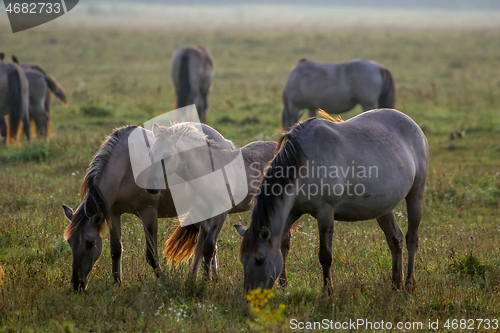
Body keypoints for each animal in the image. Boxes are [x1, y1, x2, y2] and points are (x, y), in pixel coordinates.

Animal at [62, 123, 232, 290]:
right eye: (70, 242)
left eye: (90, 243)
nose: (76, 284)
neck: (126, 167)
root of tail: (224, 142)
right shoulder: (114, 213)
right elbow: (116, 249)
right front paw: (117, 282)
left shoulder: (148, 213)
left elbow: (151, 256)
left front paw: (164, 280)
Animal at [146, 123, 278, 278]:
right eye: (150, 154)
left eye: (167, 156)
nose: (151, 187)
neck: (208, 173)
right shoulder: (202, 212)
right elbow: (205, 246)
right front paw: (203, 278)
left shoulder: (220, 212)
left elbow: (209, 246)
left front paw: (206, 280)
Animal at [234, 107, 426, 292]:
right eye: (243, 260)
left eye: (259, 259)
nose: (251, 295)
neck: (304, 164)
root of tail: (412, 124)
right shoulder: (292, 211)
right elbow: (284, 244)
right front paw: (283, 285)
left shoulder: (325, 213)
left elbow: (325, 256)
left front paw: (327, 291)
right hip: (384, 207)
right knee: (395, 239)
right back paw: (396, 283)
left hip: (415, 195)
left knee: (412, 238)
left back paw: (409, 283)